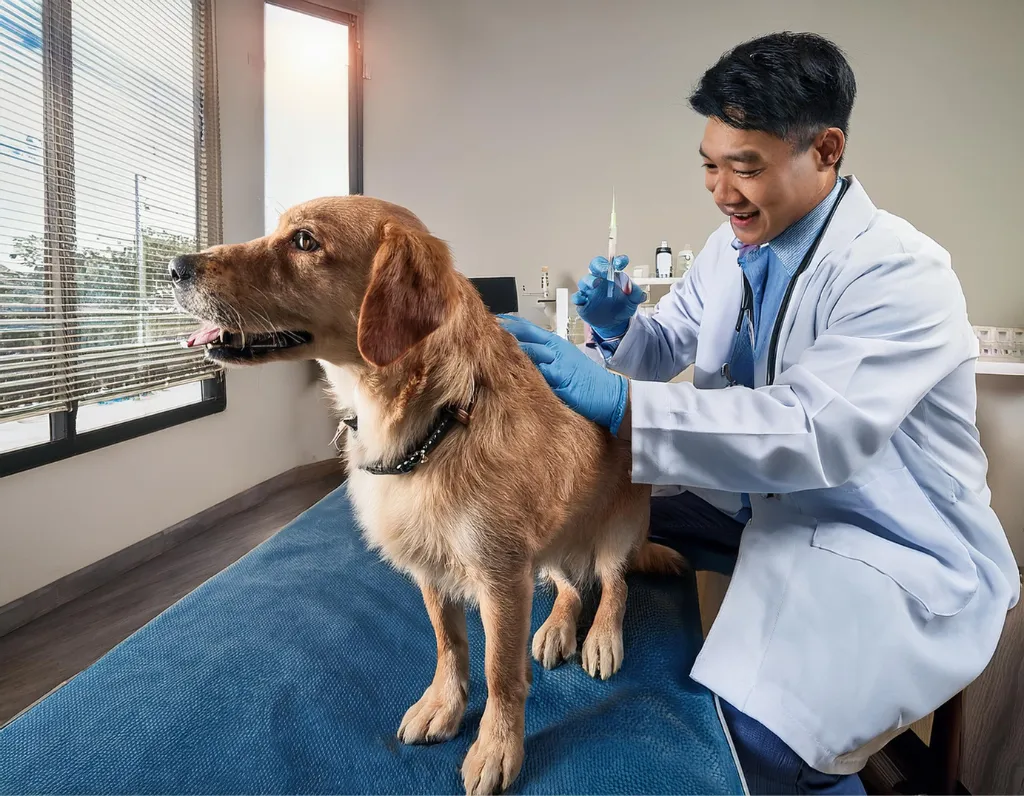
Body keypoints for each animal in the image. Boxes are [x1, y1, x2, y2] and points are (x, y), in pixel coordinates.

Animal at [169, 195, 679, 790]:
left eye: (304, 241)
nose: (174, 267)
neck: (435, 419)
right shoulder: (433, 568)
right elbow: (449, 644)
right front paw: (445, 704)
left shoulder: (502, 576)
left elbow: (501, 672)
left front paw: (497, 746)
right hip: (548, 545)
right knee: (571, 586)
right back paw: (557, 627)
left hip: (620, 522)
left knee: (613, 582)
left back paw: (599, 636)